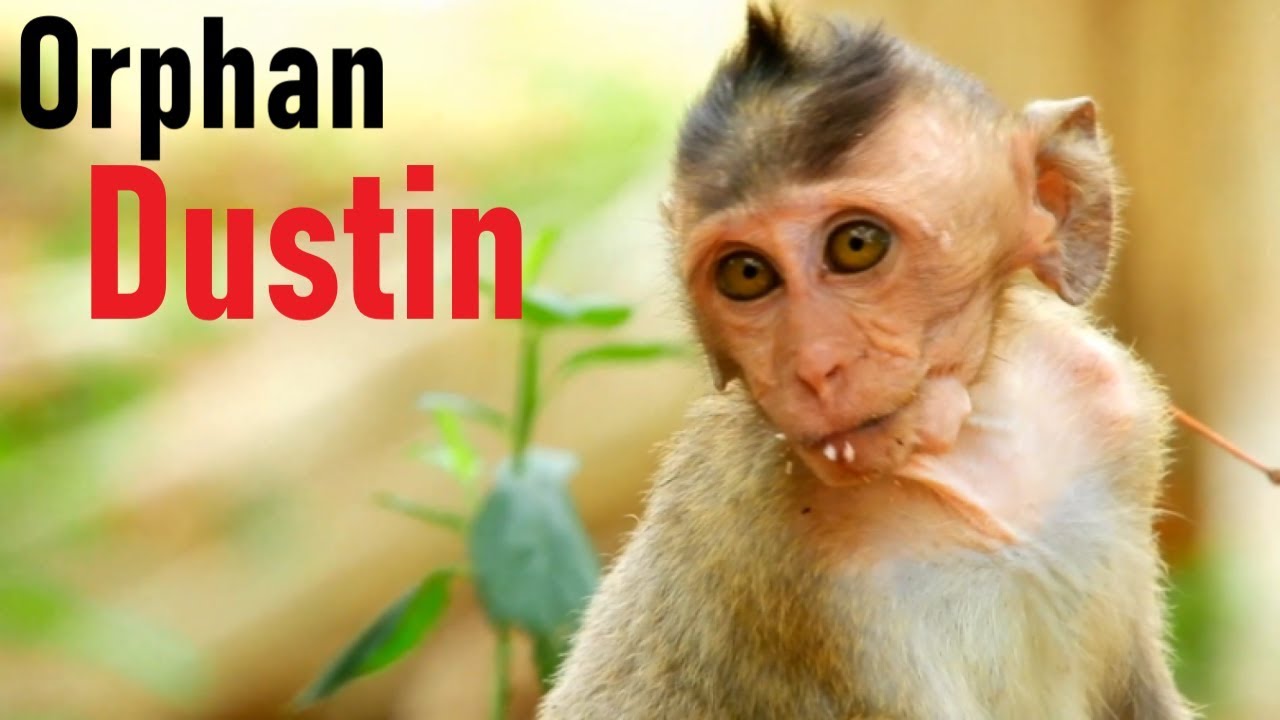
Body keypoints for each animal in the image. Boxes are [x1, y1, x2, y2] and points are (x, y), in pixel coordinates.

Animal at [538, 6, 1195, 720]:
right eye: (747, 274)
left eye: (856, 245)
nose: (815, 364)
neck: (977, 451)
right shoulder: (783, 563)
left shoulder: (1112, 406)